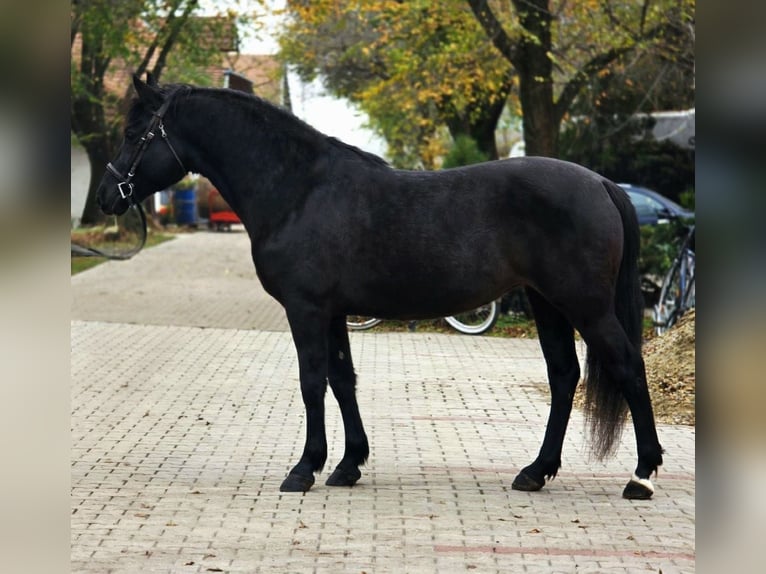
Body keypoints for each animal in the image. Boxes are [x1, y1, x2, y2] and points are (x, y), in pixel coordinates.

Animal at [96, 74, 663, 500]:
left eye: (133, 132)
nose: (105, 196)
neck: (299, 190)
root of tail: (600, 183)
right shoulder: (333, 312)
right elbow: (342, 381)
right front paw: (348, 465)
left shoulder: (306, 309)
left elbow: (312, 382)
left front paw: (304, 469)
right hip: (548, 304)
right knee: (564, 376)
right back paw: (535, 472)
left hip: (585, 306)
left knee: (628, 366)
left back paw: (642, 476)